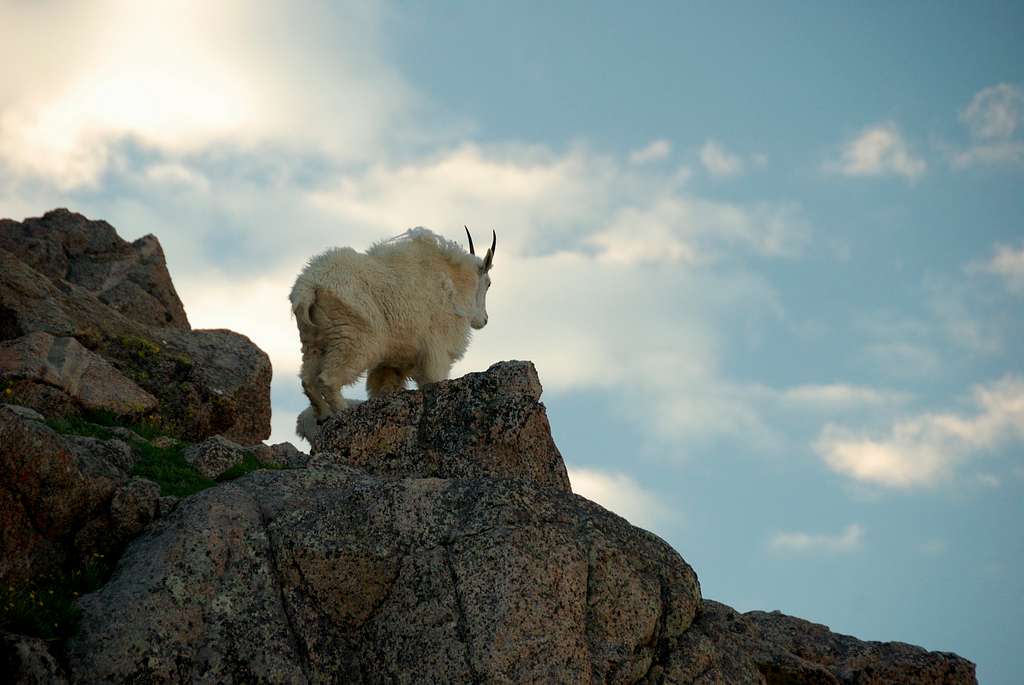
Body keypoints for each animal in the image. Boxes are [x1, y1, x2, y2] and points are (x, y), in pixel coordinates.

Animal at [288, 224, 495, 438]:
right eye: (488, 283)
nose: (484, 320)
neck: (453, 283)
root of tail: (308, 288)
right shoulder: (437, 349)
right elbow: (433, 378)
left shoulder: (391, 363)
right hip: (353, 338)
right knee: (329, 380)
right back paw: (343, 414)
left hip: (314, 340)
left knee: (307, 380)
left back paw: (323, 415)